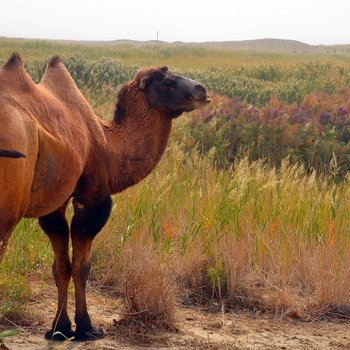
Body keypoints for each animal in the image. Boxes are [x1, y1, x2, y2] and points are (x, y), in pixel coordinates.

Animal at [0, 53, 211, 340]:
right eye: (167, 82)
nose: (202, 90)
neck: (110, 144)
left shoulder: (55, 205)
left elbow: (60, 265)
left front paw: (59, 329)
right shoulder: (93, 198)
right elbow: (81, 265)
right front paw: (86, 328)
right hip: (8, 207)